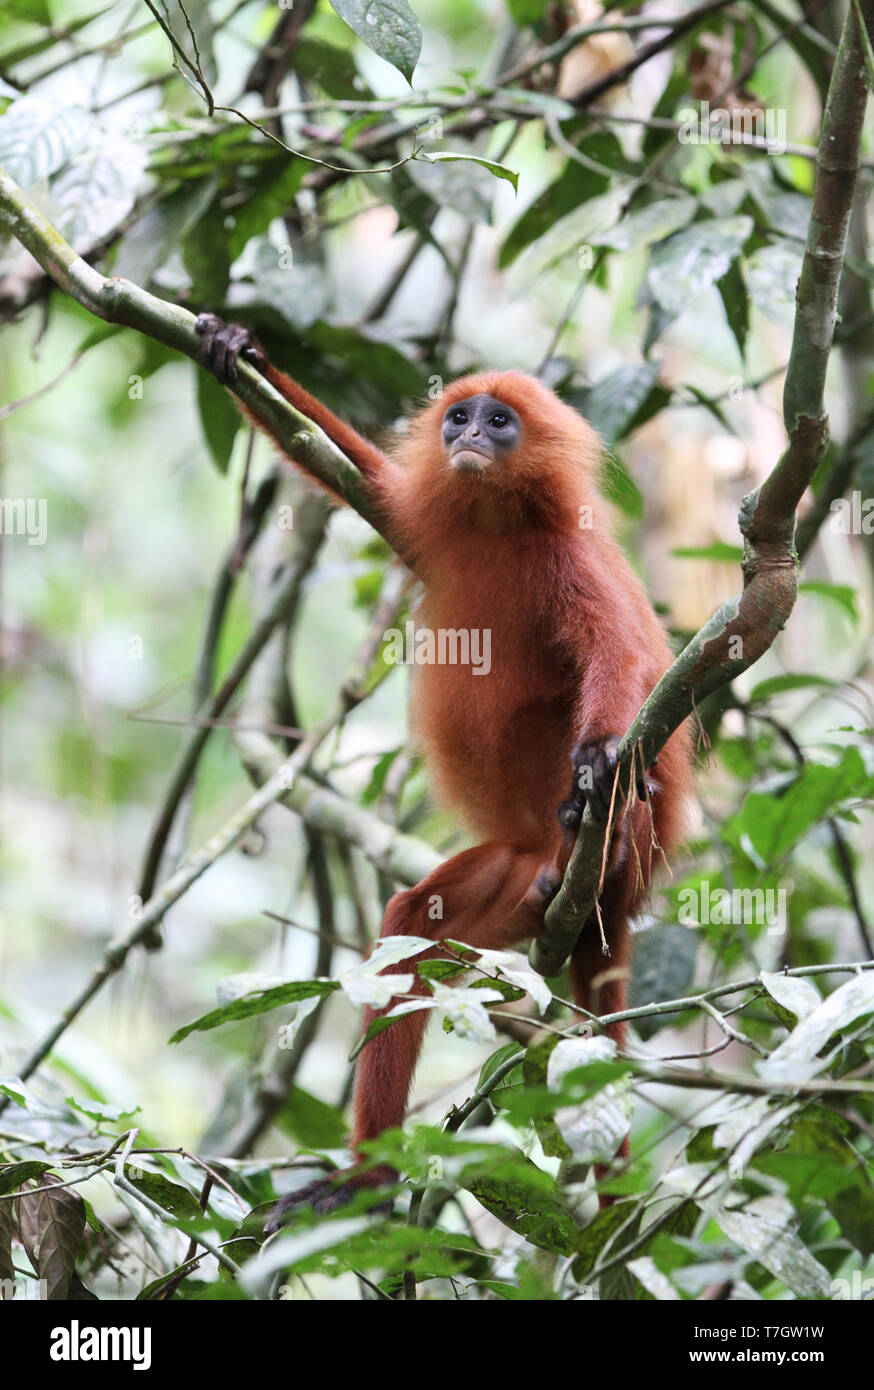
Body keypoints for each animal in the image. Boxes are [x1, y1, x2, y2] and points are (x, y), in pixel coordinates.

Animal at [195, 312, 689, 1217]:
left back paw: (589, 830)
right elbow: (353, 467)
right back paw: (367, 1179)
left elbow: (628, 662)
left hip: (621, 853)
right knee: (411, 935)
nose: (468, 436)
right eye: (460, 417)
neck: (497, 525)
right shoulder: (423, 520)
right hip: (506, 893)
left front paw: (597, 758)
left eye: (501, 422)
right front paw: (233, 348)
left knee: (636, 777)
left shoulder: (575, 556)